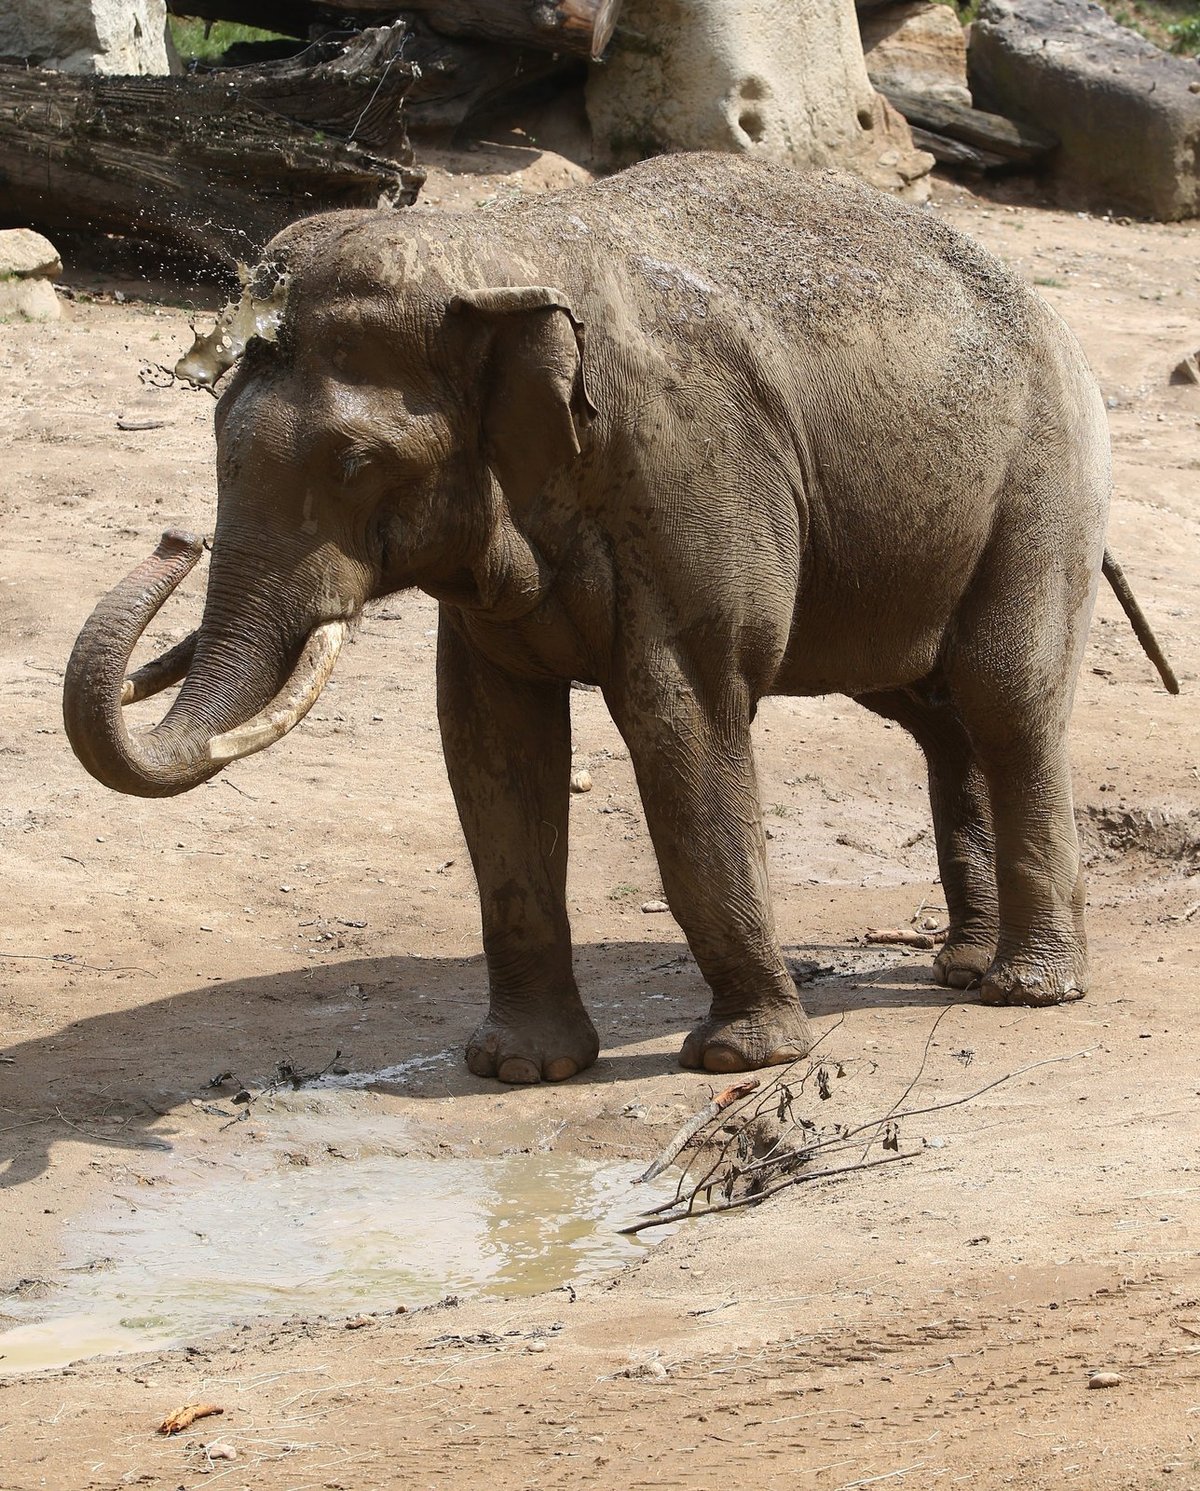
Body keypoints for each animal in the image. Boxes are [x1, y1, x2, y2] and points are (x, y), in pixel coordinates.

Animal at [60, 154, 1174, 1085]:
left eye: (353, 462)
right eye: (216, 436)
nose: (173, 539)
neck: (501, 251)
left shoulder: (694, 479)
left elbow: (678, 717)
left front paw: (739, 1058)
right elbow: (490, 741)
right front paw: (518, 1068)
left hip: (1043, 481)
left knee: (1004, 694)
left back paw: (1029, 989)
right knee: (934, 711)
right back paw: (963, 966)